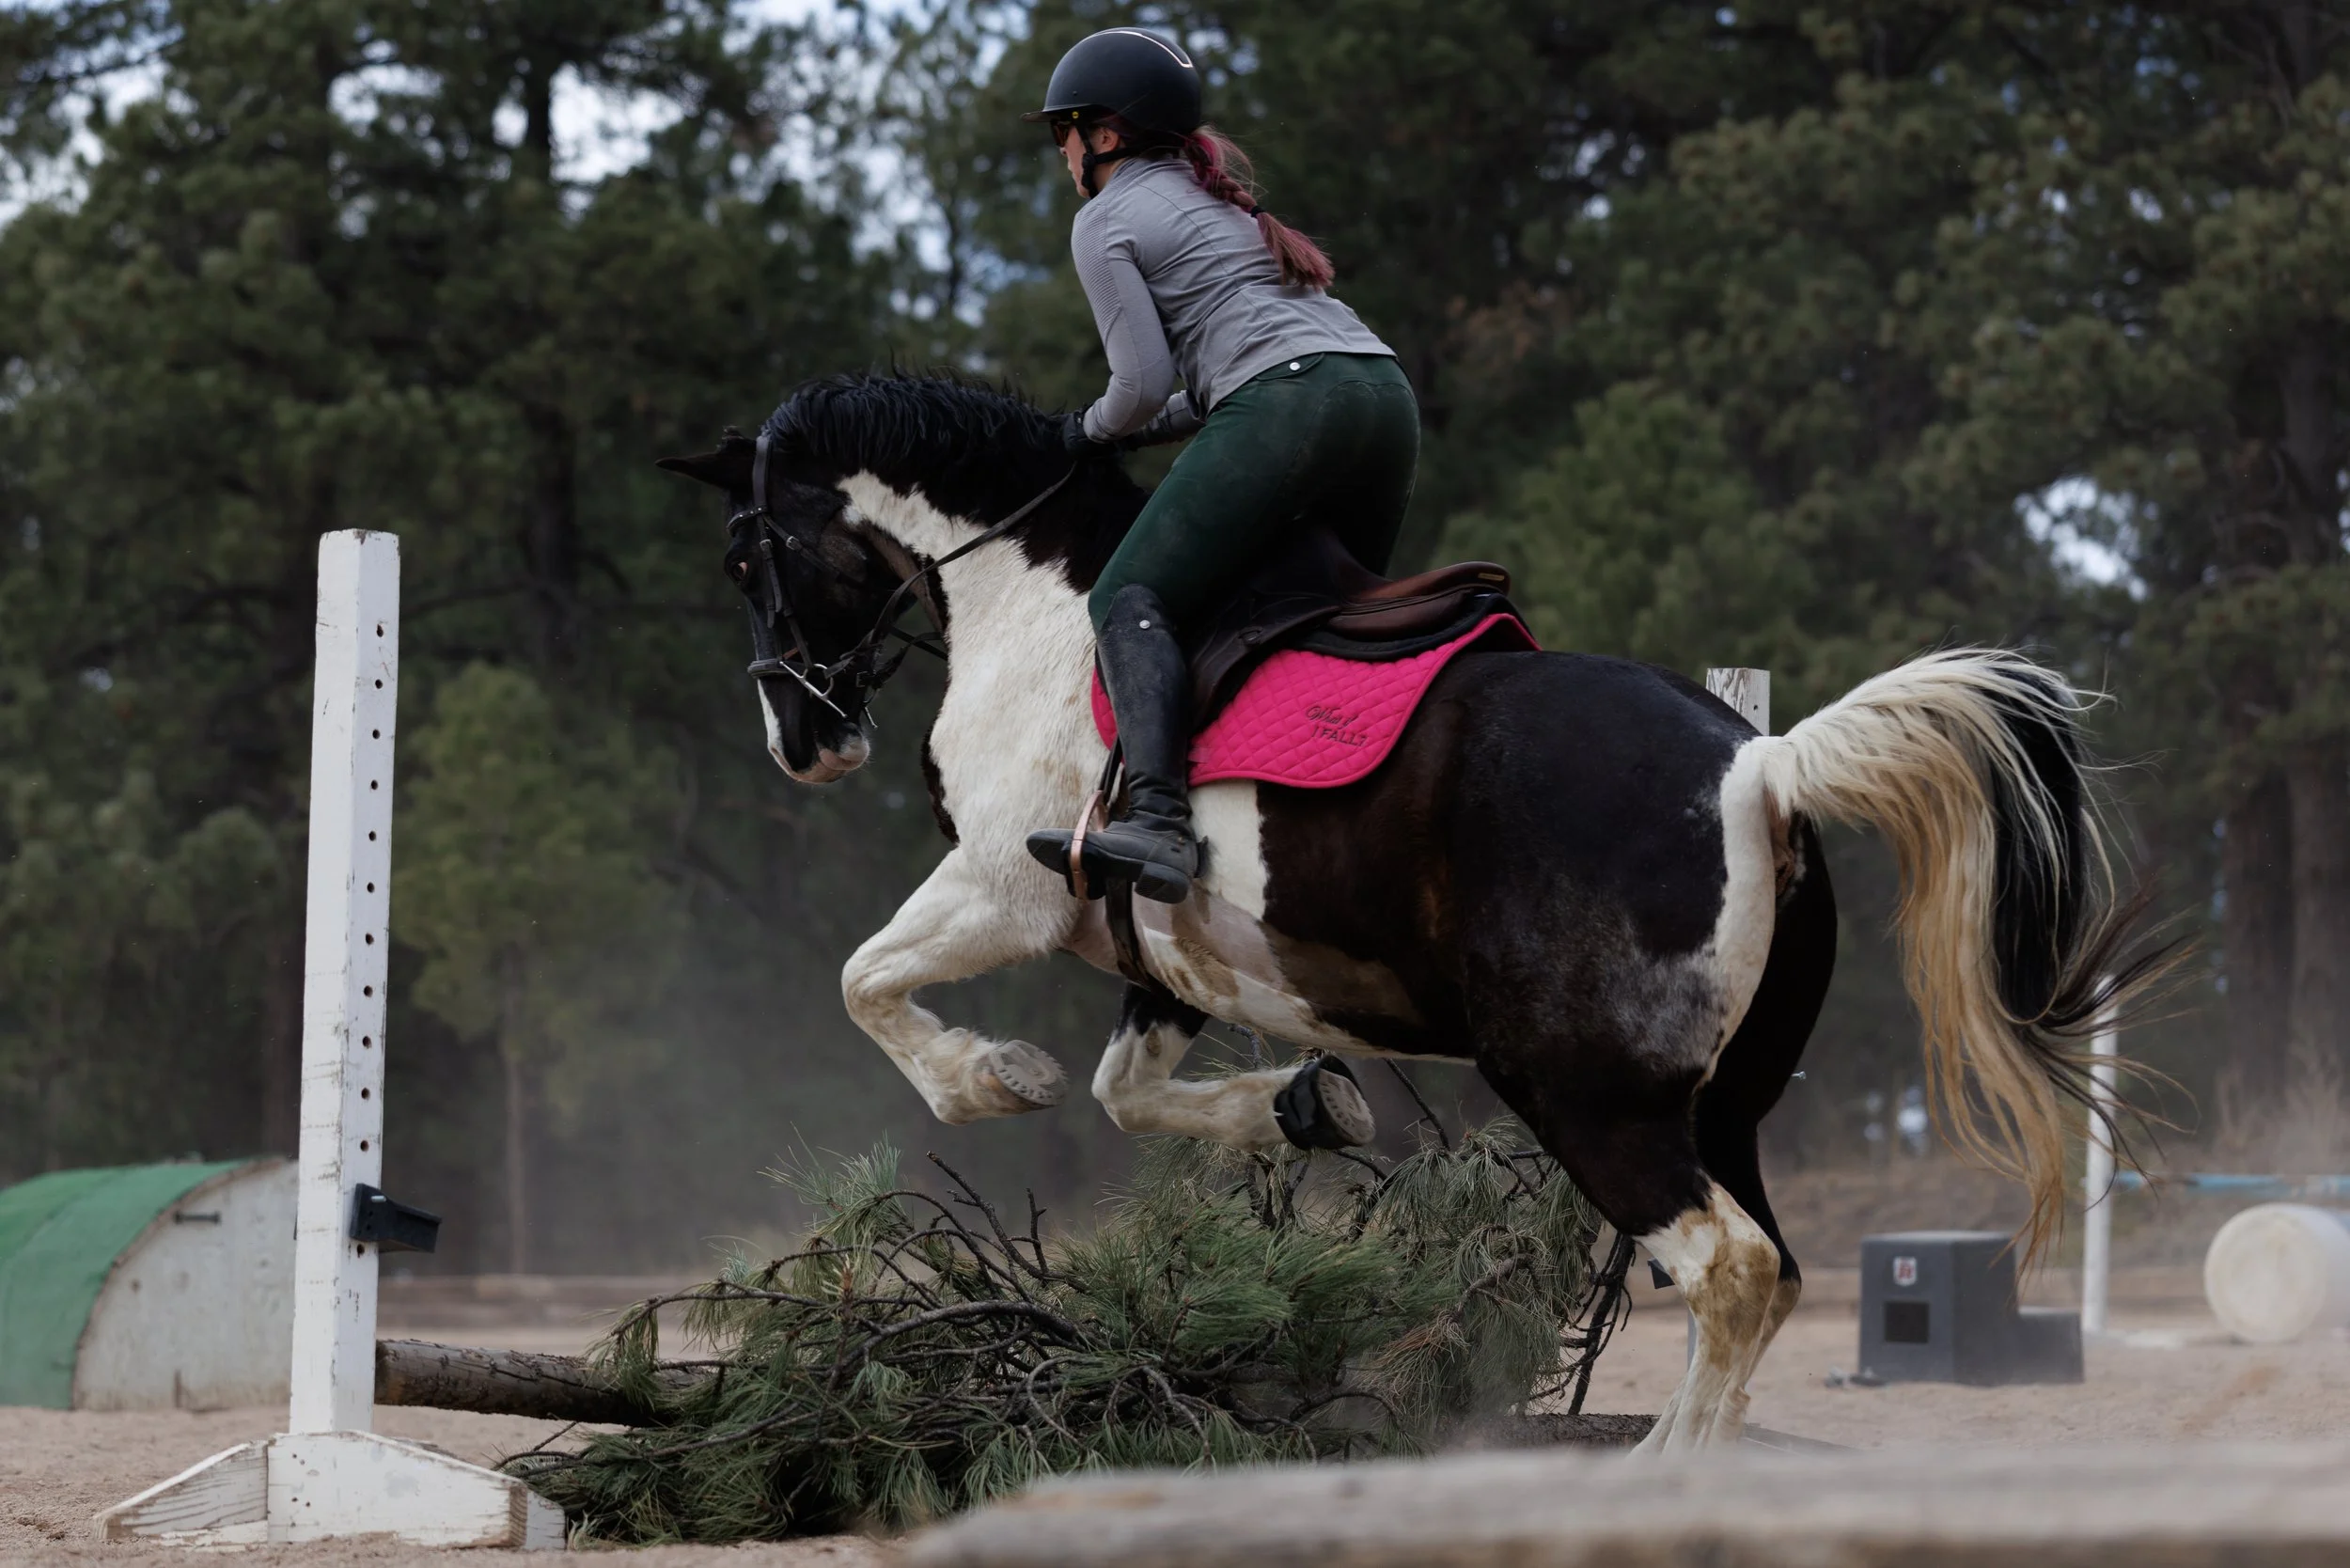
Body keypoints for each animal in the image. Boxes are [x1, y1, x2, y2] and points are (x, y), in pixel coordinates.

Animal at [660, 372, 2147, 1452]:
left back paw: (1661, 1477)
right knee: (1770, 1270)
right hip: (1722, 1102)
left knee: (1723, 1266)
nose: (804, 741)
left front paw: (991, 1076)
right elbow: (1128, 1092)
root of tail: (1759, 764)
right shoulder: (1162, 943)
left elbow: (867, 984)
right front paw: (1308, 1107)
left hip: (1584, 1092)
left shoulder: (1003, 885)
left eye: (743, 557)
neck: (1037, 601)